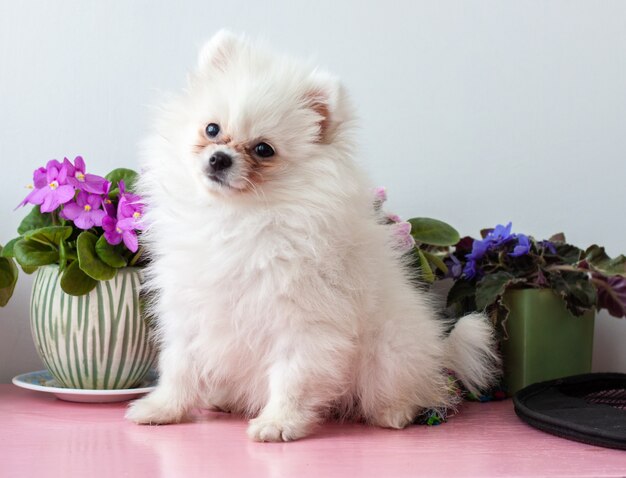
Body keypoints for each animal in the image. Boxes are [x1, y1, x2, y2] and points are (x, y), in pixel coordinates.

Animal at [125, 29, 498, 440]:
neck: (239, 216)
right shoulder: (189, 311)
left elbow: (293, 377)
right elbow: (179, 365)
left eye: (263, 149)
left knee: (404, 388)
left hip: (389, 350)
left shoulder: (304, 322)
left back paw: (394, 412)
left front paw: (278, 422)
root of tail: (437, 351)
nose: (219, 158)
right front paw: (163, 408)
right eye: (212, 129)